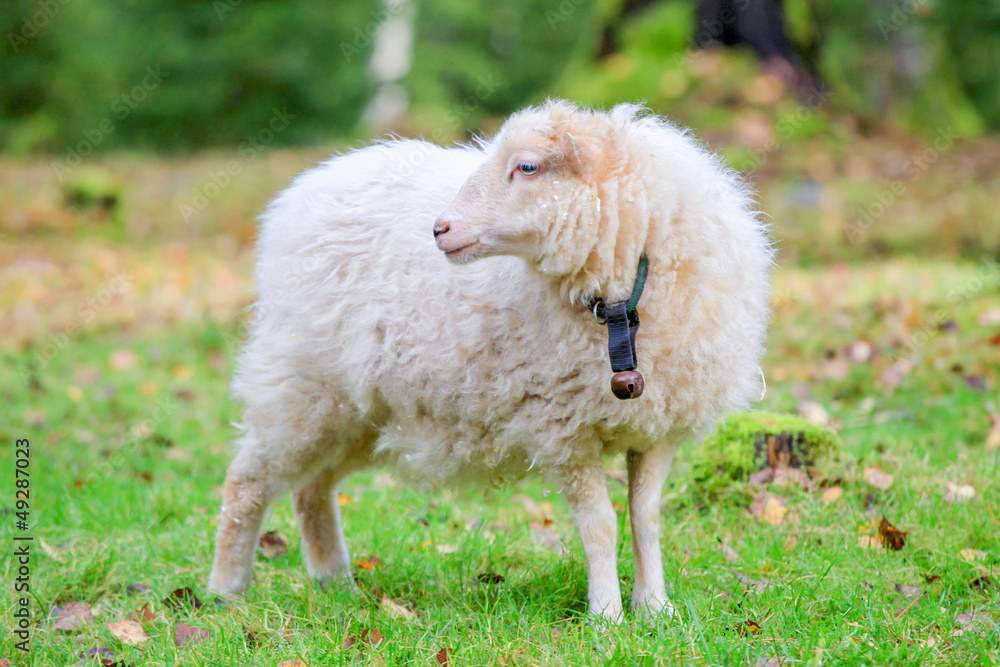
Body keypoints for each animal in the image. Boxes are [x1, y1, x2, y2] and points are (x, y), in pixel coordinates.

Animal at [208, 100, 773, 621]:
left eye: (527, 166)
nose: (439, 228)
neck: (617, 306)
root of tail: (307, 185)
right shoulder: (562, 427)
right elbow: (600, 524)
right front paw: (606, 616)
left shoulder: (657, 427)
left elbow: (646, 518)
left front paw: (655, 609)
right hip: (300, 384)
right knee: (247, 480)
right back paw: (225, 590)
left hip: (359, 411)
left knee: (312, 489)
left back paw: (335, 582)